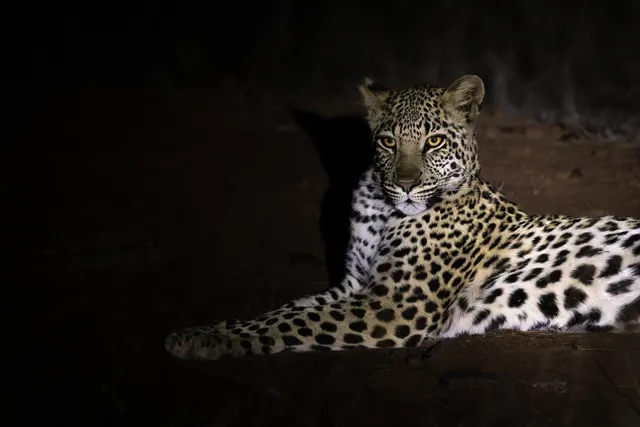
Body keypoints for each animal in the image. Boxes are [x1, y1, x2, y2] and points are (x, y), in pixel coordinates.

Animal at [165, 74, 640, 361]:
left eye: (434, 141)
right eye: (388, 141)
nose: (407, 184)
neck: (379, 209)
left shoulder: (394, 304)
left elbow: (297, 322)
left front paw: (205, 339)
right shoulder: (353, 286)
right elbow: (285, 310)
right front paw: (212, 327)